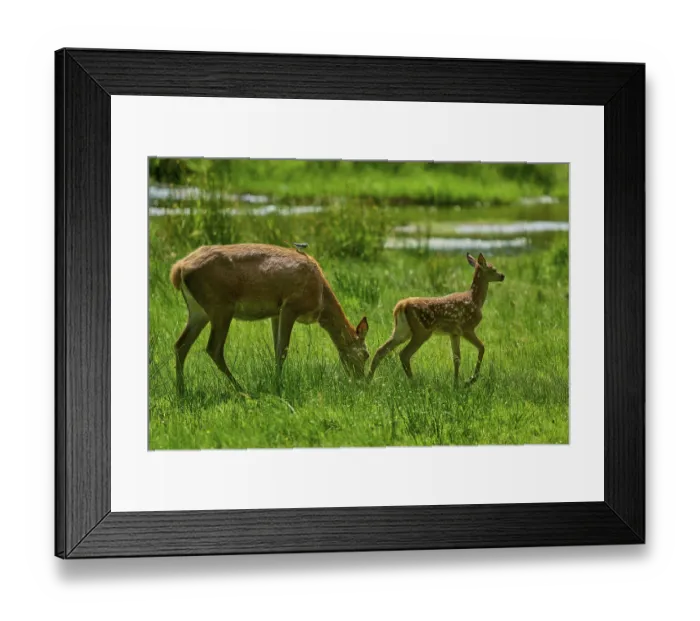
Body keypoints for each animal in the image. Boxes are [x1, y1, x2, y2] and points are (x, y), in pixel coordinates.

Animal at [169, 244, 370, 395]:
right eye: (366, 354)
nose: (361, 381)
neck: (321, 299)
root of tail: (179, 269)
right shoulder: (291, 306)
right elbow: (282, 350)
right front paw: (278, 386)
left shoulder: (276, 313)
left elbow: (276, 349)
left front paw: (277, 381)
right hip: (221, 307)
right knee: (213, 348)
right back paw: (241, 389)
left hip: (198, 311)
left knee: (180, 345)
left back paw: (182, 391)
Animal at [368, 253, 505, 386]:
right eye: (493, 269)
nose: (502, 276)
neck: (475, 300)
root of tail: (401, 305)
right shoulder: (467, 327)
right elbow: (482, 347)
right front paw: (470, 380)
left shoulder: (454, 333)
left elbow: (457, 358)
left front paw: (456, 384)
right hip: (422, 330)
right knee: (404, 354)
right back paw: (414, 382)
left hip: (402, 330)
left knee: (380, 351)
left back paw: (368, 379)